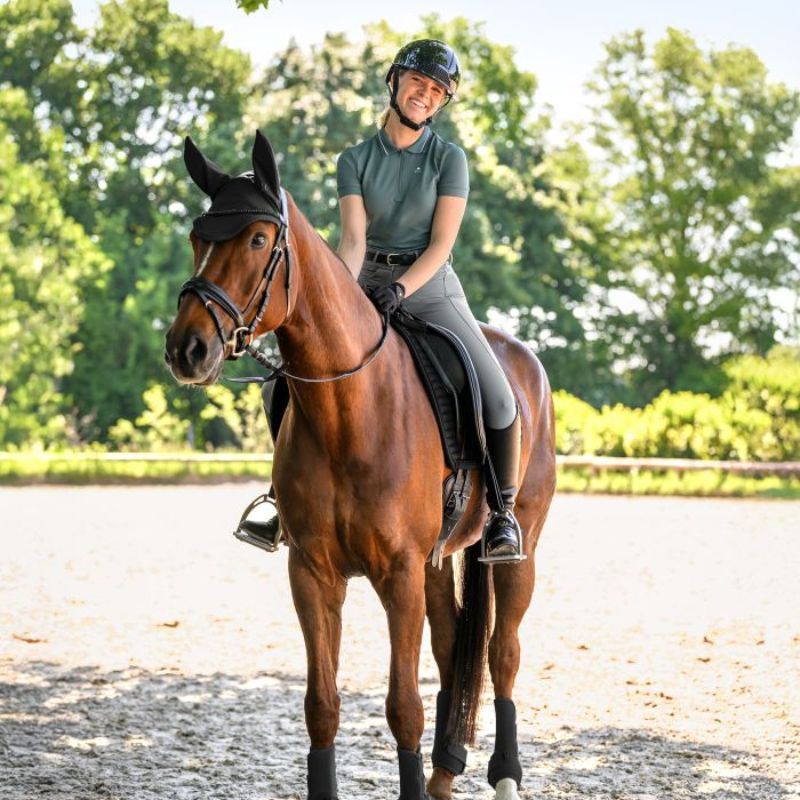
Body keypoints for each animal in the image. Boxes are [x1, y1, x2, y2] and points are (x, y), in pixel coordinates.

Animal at [164, 131, 556, 800]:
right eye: (197, 235)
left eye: (259, 240)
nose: (186, 349)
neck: (351, 410)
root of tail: (522, 358)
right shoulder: (312, 572)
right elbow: (321, 705)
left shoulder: (396, 573)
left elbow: (403, 707)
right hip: (435, 562)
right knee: (453, 644)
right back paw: (445, 770)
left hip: (516, 543)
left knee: (503, 650)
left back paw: (504, 774)